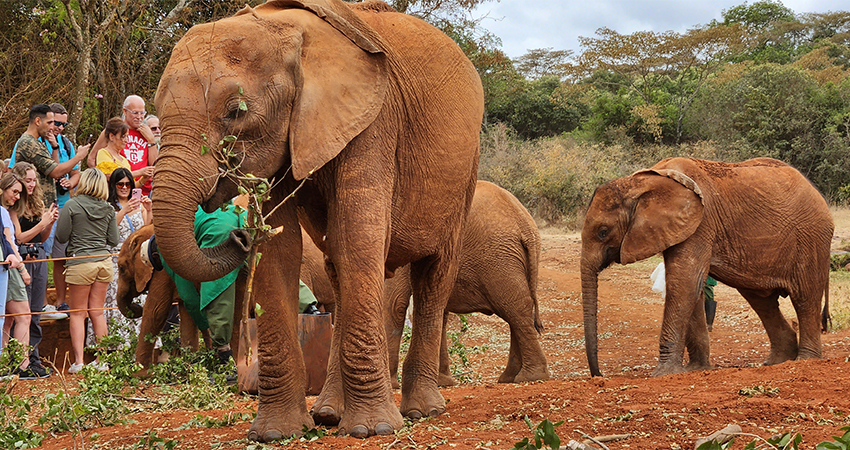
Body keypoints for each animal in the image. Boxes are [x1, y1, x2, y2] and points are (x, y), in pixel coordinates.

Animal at [116, 225, 335, 370]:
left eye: (121, 268)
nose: (135, 306)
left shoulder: (163, 272)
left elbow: (156, 310)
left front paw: (138, 373)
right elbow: (187, 308)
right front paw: (189, 365)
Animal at [152, 0, 482, 440]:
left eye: (236, 112)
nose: (240, 233)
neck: (292, 30)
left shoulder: (374, 120)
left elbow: (360, 236)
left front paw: (374, 430)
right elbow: (281, 249)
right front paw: (277, 433)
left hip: (466, 170)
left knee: (434, 273)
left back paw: (422, 411)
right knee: (338, 267)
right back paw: (328, 413)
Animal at [384, 181, 548, 387]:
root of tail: (526, 225)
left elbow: (394, 304)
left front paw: (392, 386)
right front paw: (443, 382)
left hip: (497, 259)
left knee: (515, 309)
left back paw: (529, 377)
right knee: (515, 310)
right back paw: (510, 377)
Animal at [581, 157, 832, 377]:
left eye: (603, 232)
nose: (599, 375)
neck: (642, 182)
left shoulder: (702, 222)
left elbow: (685, 282)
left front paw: (663, 374)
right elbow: (693, 287)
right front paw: (696, 369)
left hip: (811, 238)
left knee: (805, 297)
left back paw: (805, 360)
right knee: (762, 301)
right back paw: (778, 361)